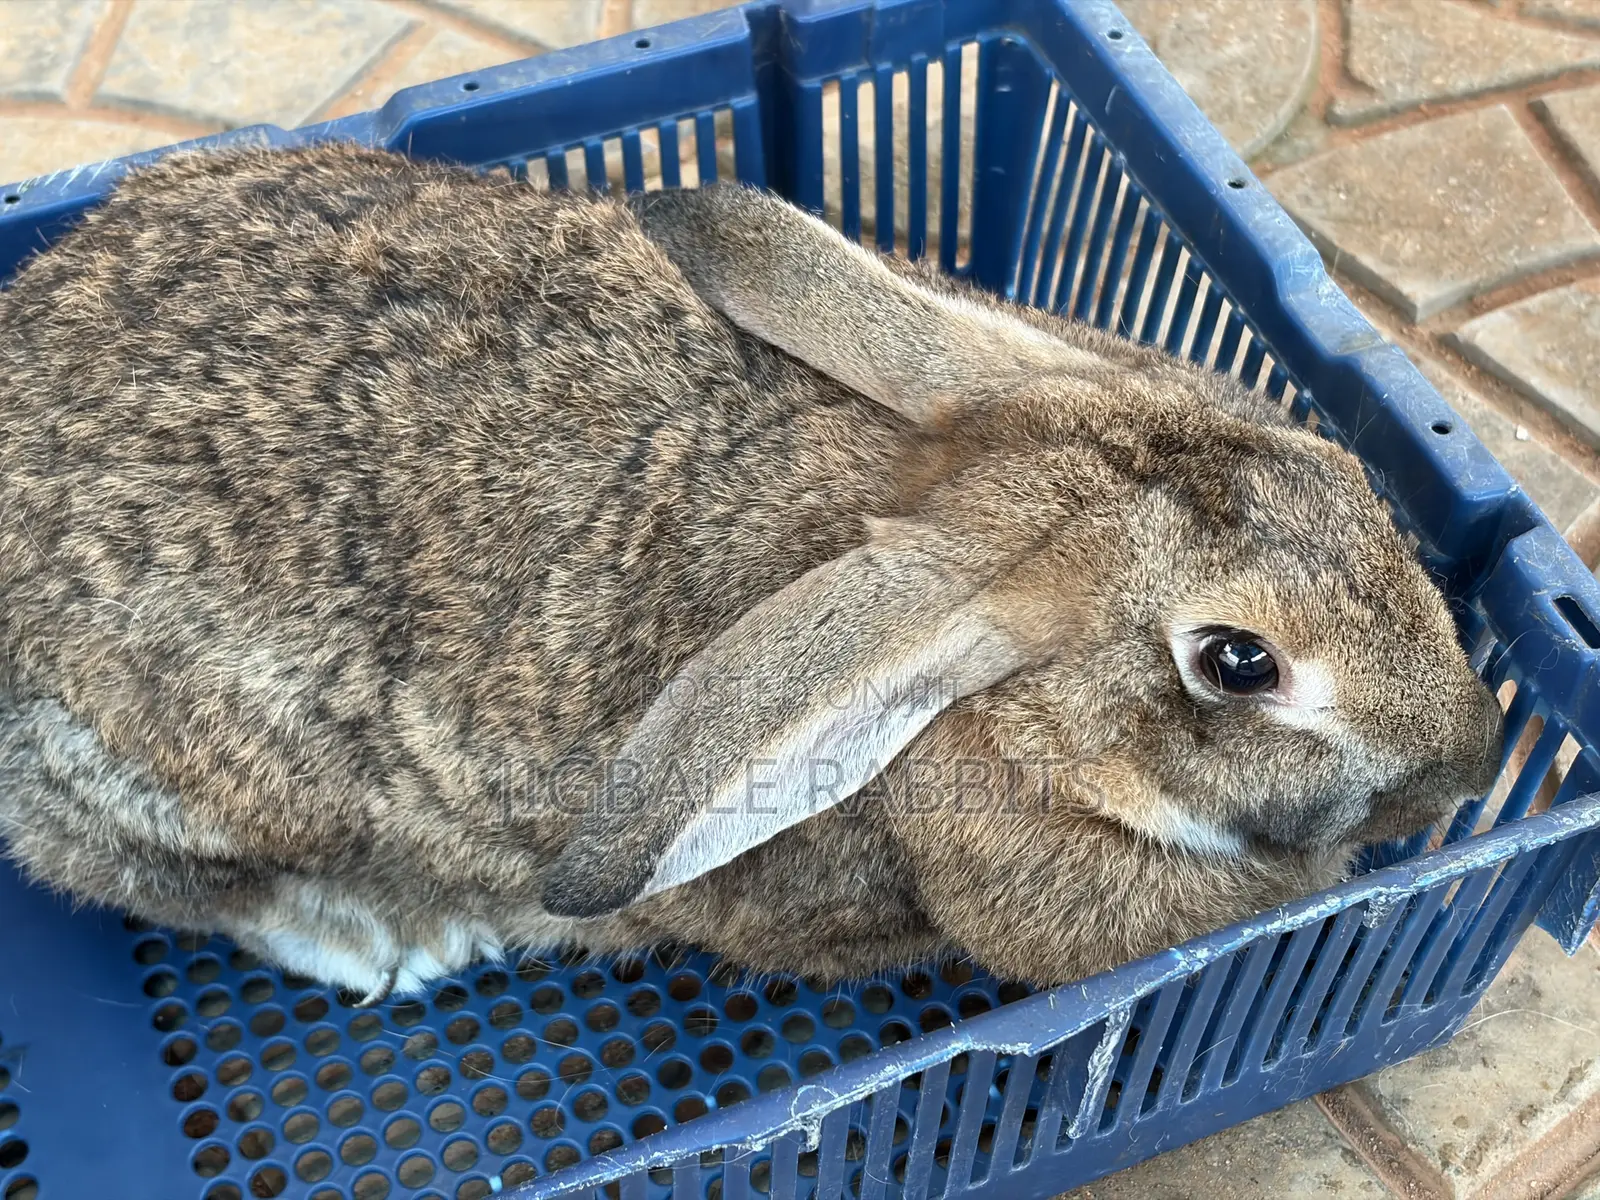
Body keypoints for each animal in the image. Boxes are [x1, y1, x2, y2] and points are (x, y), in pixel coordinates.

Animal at [0, 141, 1503, 1005]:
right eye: (1238, 662)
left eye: (1341, 476)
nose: (1471, 759)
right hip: (158, 778)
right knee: (144, 876)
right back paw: (378, 940)